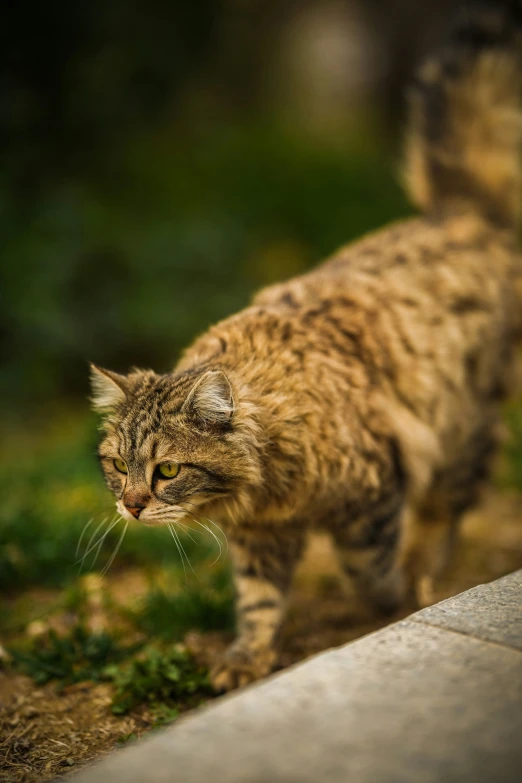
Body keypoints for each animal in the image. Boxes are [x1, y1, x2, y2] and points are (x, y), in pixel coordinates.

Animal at [89, 0, 520, 688]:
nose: (130, 507)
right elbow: (259, 599)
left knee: (444, 512)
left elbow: (368, 569)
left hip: (458, 430)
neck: (268, 485)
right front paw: (249, 657)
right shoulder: (263, 536)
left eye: (168, 470)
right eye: (117, 465)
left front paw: (388, 603)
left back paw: (426, 571)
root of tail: (457, 212)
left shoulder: (374, 493)